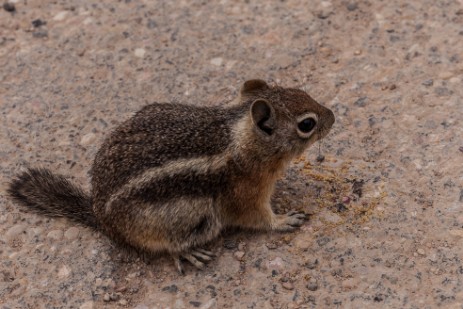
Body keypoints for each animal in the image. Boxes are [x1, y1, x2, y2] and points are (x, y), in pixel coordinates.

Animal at [7, 79, 334, 272]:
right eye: (307, 124)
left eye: (302, 92)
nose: (332, 116)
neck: (241, 139)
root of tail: (101, 218)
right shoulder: (246, 194)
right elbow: (259, 218)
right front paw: (284, 220)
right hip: (191, 214)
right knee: (164, 245)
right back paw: (187, 253)